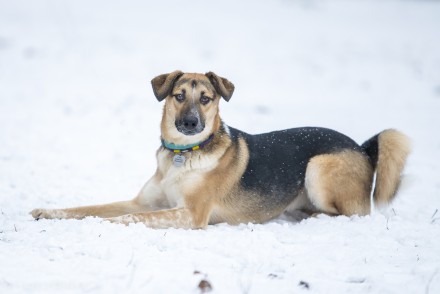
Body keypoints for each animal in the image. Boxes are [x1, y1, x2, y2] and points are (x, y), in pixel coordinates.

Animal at [30, 70, 410, 229]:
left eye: (206, 99)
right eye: (179, 96)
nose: (190, 123)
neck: (182, 155)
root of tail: (362, 147)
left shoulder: (190, 214)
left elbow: (129, 218)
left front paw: (108, 225)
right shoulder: (144, 201)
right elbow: (87, 208)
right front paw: (49, 212)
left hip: (318, 166)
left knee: (350, 214)